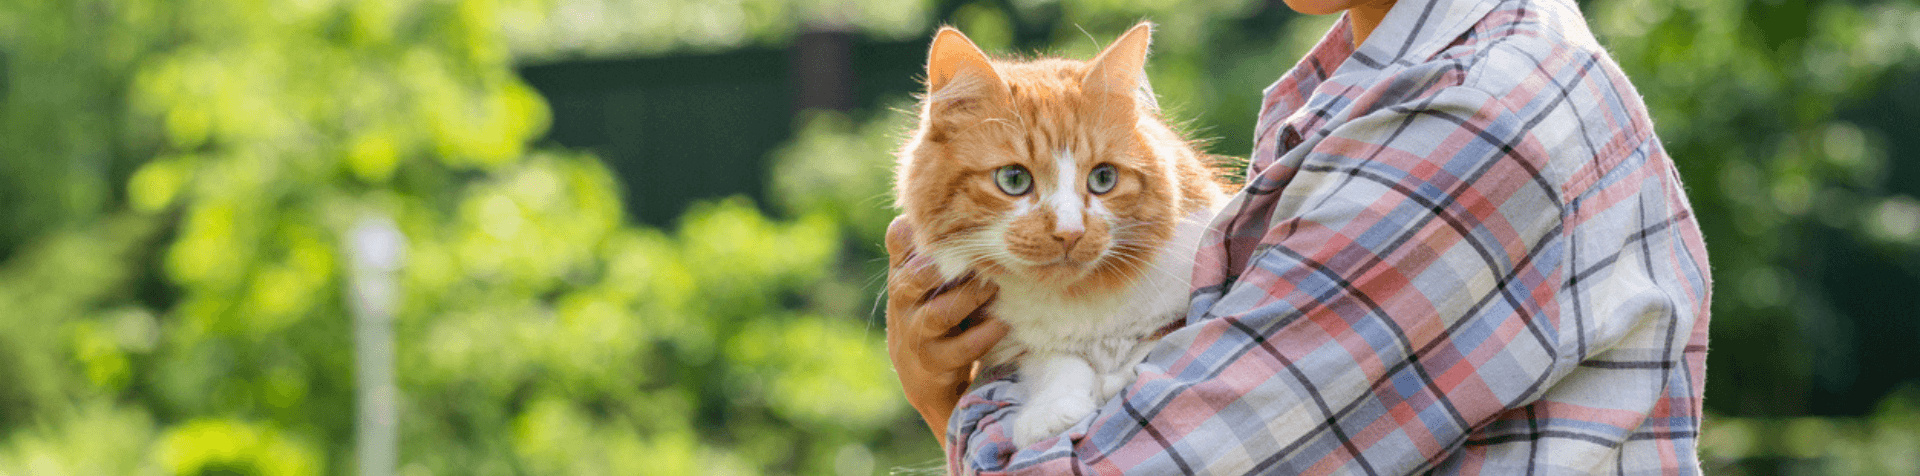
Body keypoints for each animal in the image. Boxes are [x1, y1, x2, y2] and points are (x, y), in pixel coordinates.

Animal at [894, 22, 1228, 445]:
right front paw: (1053, 411)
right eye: (1013, 180)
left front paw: (1118, 376)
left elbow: (1157, 336)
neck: (1080, 301)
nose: (1070, 232)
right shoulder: (1013, 342)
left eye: (1103, 178)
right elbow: (1054, 361)